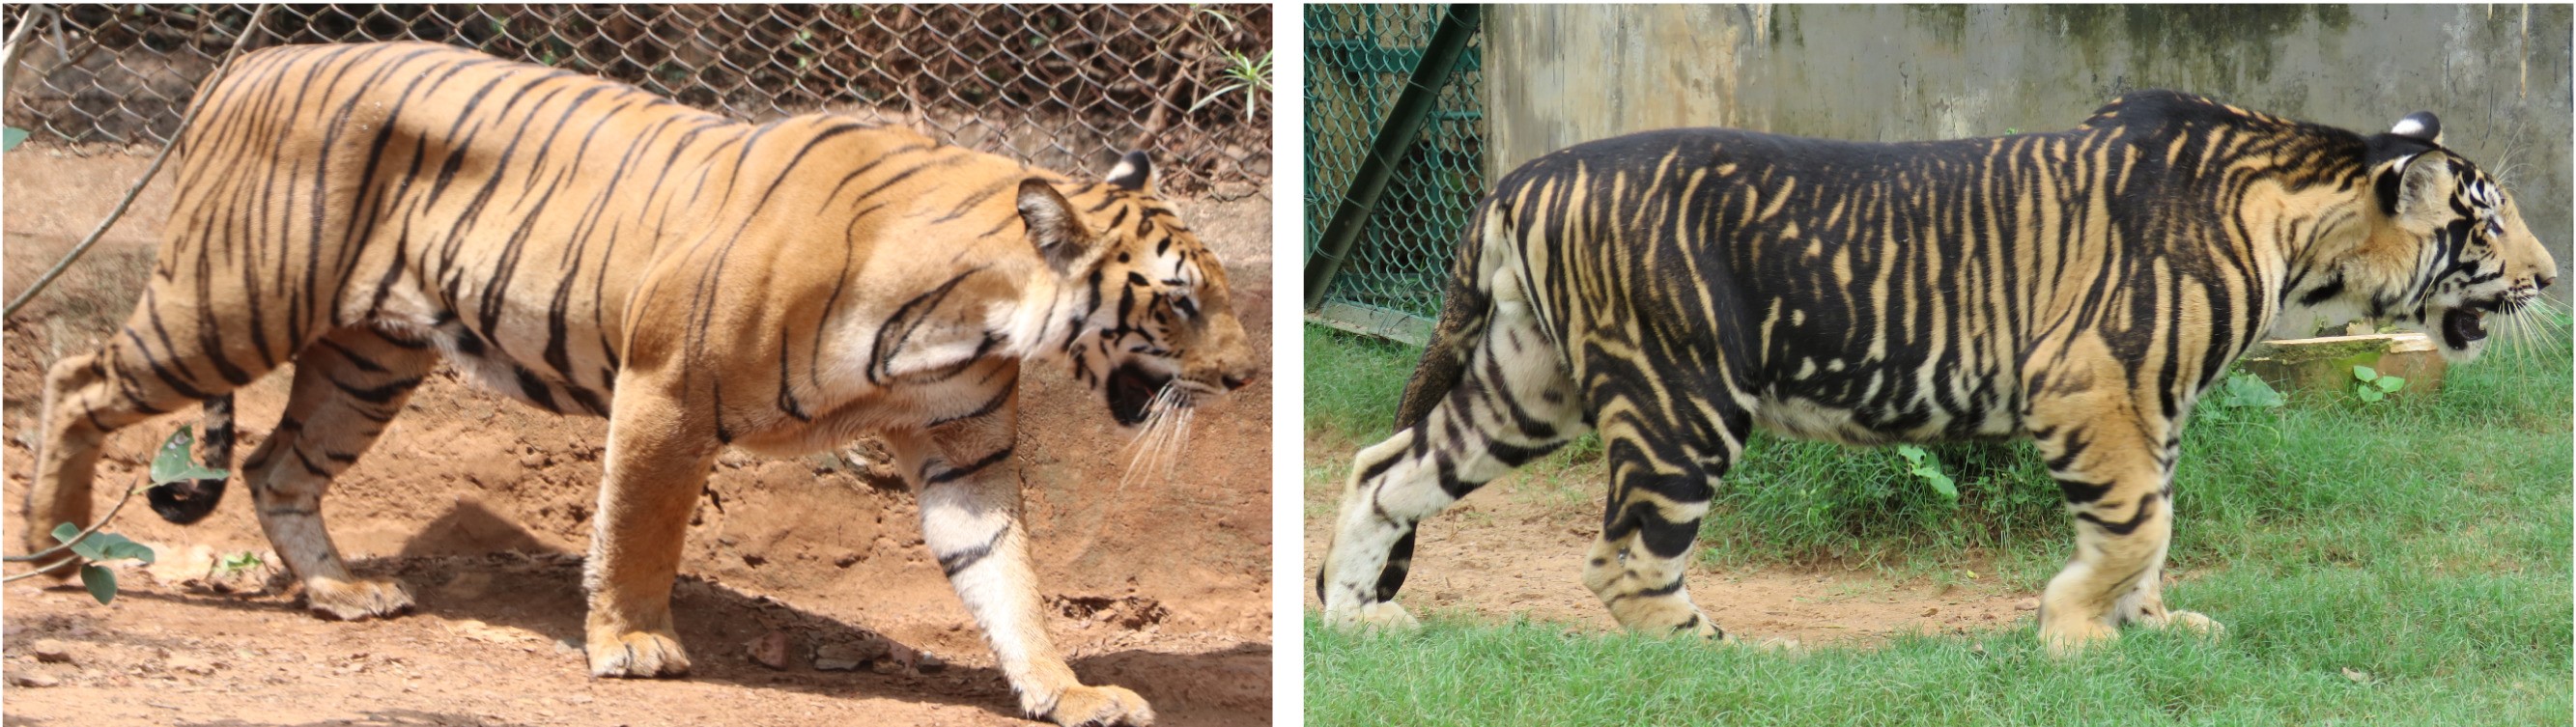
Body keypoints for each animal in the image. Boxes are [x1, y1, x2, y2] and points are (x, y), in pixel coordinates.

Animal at [22, 41, 1257, 727]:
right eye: (1180, 303)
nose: (1246, 378)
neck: (967, 315)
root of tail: (244, 62)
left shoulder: (968, 452)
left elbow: (1008, 583)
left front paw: (1068, 692)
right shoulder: (668, 391)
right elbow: (641, 528)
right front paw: (630, 642)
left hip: (370, 357)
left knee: (281, 466)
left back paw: (340, 592)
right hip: (232, 306)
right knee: (79, 376)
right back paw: (57, 548)